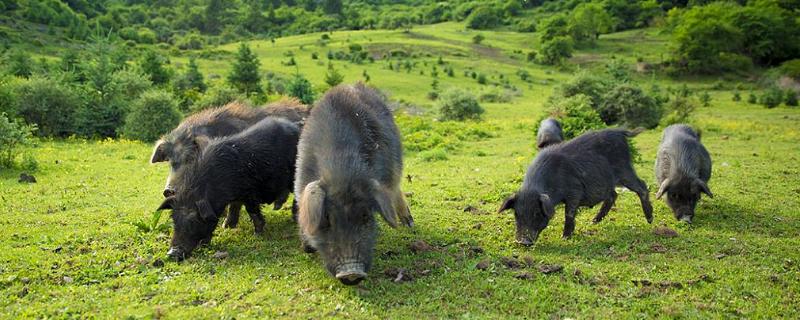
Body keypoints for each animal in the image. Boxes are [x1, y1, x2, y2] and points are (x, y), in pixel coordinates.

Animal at [156, 117, 300, 260]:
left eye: (194, 221)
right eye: (174, 219)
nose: (172, 253)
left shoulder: (249, 192)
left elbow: (252, 211)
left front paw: (258, 234)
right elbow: (234, 207)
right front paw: (227, 227)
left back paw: (294, 218)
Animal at [296, 82, 416, 284]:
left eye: (366, 216)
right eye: (327, 218)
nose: (351, 273)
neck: (340, 167)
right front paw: (307, 246)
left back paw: (409, 224)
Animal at [496, 127, 652, 245]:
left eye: (537, 213)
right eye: (516, 214)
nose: (523, 242)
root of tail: (620, 132)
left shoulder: (574, 191)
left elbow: (569, 214)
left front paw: (564, 237)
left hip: (624, 170)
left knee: (642, 186)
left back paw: (650, 220)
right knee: (613, 195)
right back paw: (594, 221)